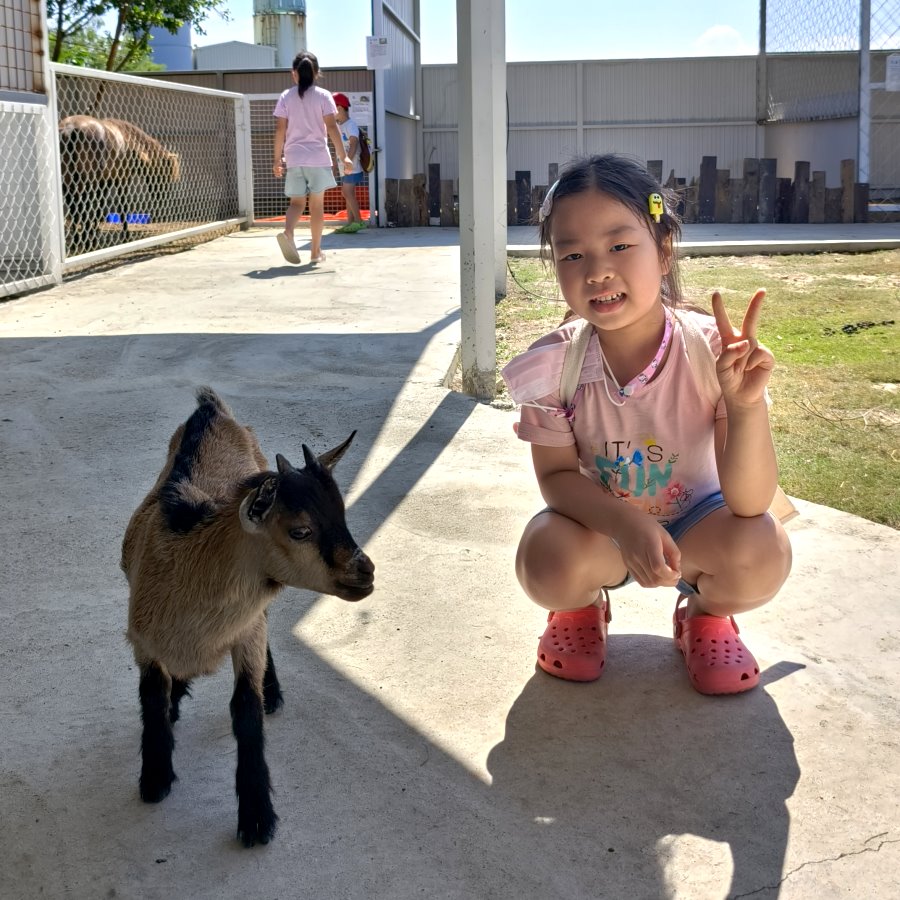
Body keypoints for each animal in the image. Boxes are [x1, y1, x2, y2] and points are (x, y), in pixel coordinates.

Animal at [119, 386, 372, 844]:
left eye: (343, 516)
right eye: (300, 530)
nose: (366, 572)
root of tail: (211, 407)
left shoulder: (246, 631)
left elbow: (246, 710)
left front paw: (256, 819)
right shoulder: (142, 640)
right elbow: (151, 696)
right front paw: (155, 779)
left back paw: (272, 692)